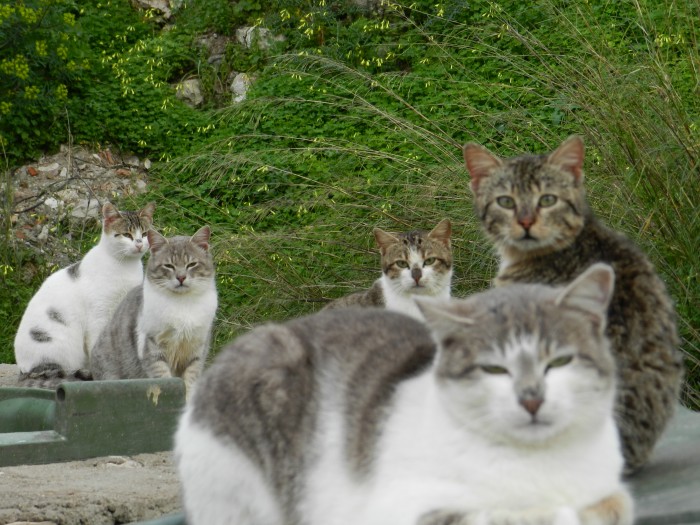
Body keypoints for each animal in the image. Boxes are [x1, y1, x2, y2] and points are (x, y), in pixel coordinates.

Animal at [13, 199, 156, 386]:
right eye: (127, 235)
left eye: (145, 233)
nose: (139, 243)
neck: (126, 267)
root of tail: (24, 371)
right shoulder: (98, 316)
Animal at [89, 225, 217, 398]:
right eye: (169, 266)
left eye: (191, 264)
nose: (181, 277)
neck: (182, 304)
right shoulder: (152, 347)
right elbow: (164, 379)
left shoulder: (196, 351)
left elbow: (190, 381)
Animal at [176, 264, 636, 524]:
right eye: (493, 369)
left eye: (559, 362)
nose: (532, 399)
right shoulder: (401, 506)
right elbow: (506, 515)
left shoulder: (608, 491)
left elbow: (612, 505)